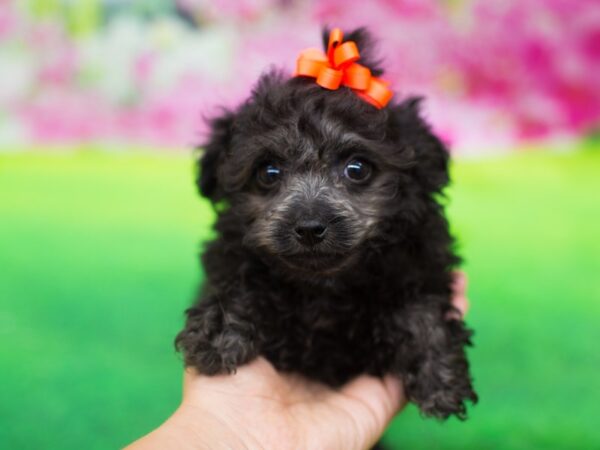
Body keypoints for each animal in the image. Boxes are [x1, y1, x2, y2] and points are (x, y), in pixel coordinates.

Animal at [176, 28, 476, 420]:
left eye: (357, 169)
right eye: (268, 173)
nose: (309, 227)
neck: (324, 287)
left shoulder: (420, 260)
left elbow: (421, 307)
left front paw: (439, 376)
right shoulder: (230, 257)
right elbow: (243, 281)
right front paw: (219, 329)